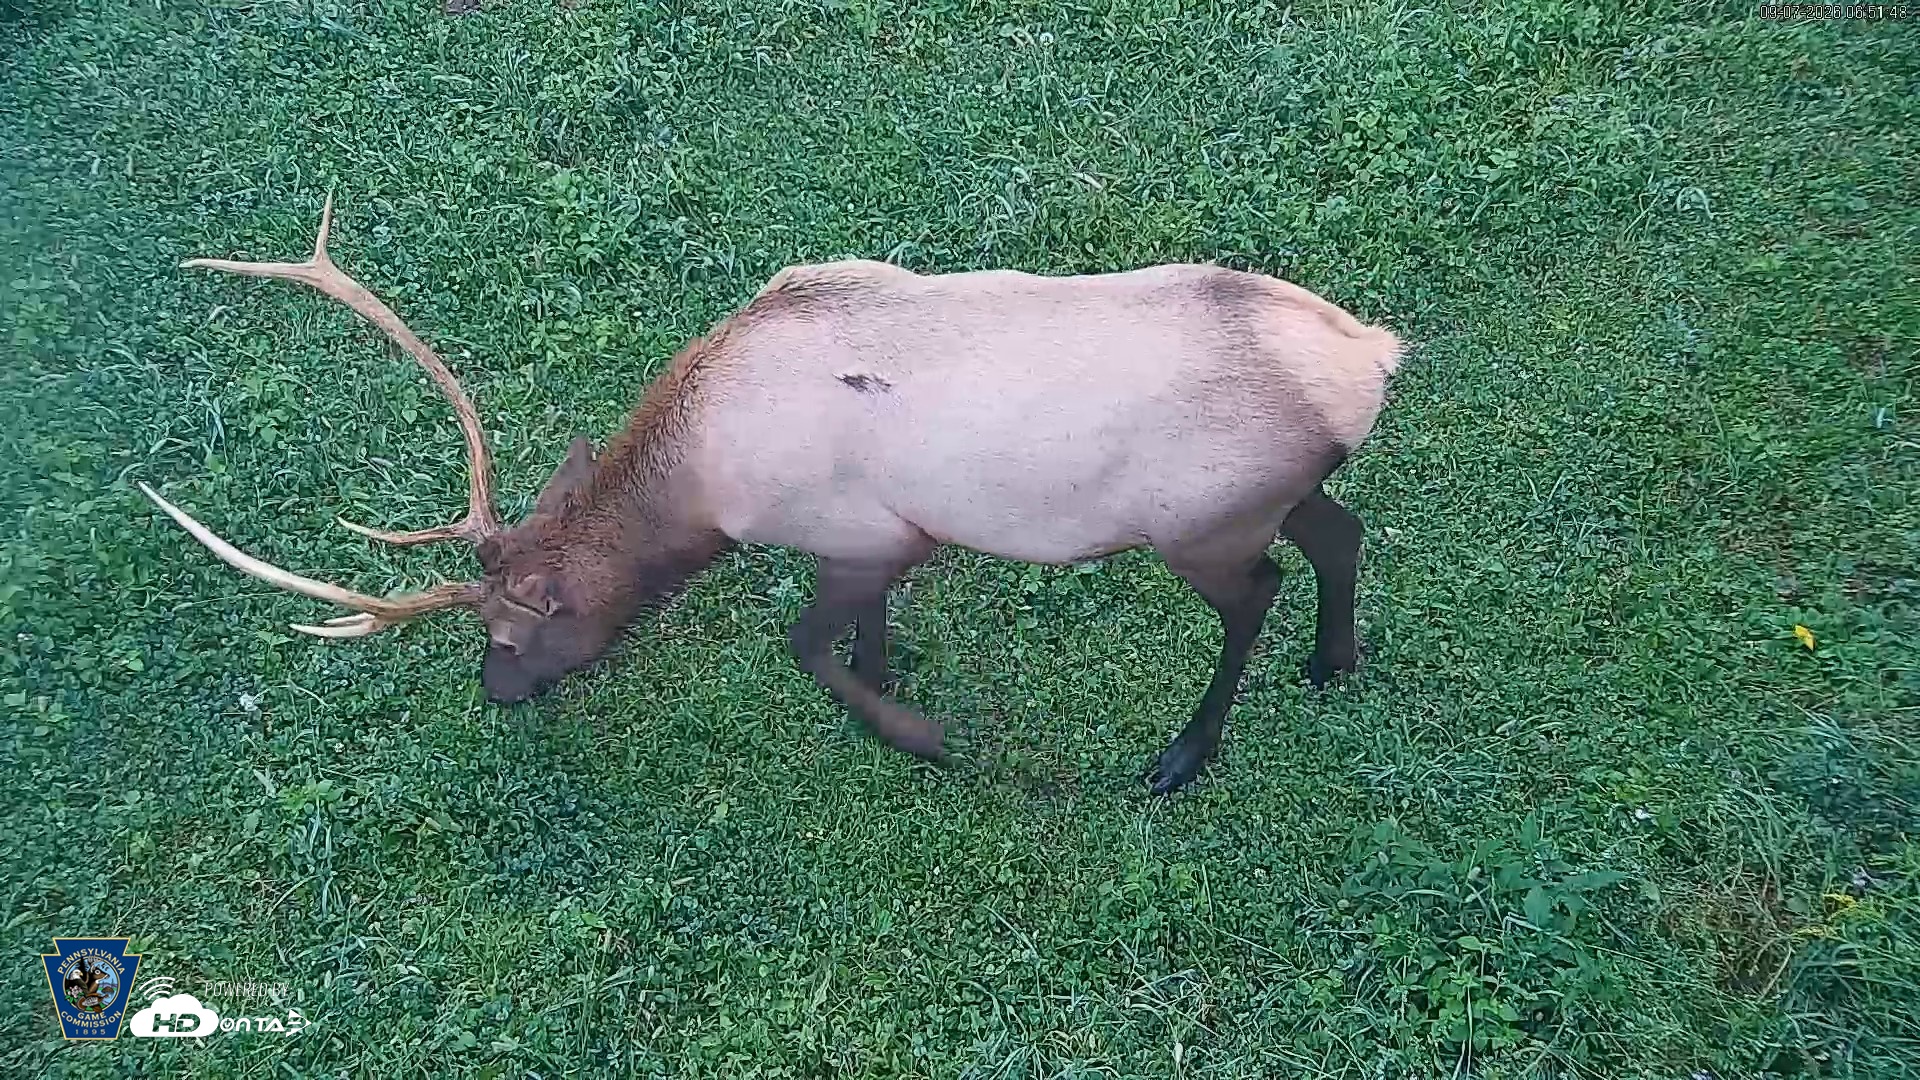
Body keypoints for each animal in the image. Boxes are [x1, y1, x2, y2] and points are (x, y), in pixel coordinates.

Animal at [140, 196, 1402, 795]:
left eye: (508, 629)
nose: (493, 693)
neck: (705, 485)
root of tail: (1371, 358)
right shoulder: (896, 538)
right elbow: (861, 637)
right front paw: (898, 677)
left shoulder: (856, 533)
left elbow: (804, 647)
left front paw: (920, 736)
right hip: (1274, 492)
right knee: (1341, 532)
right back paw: (1333, 664)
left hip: (1202, 522)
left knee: (1258, 592)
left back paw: (1184, 754)